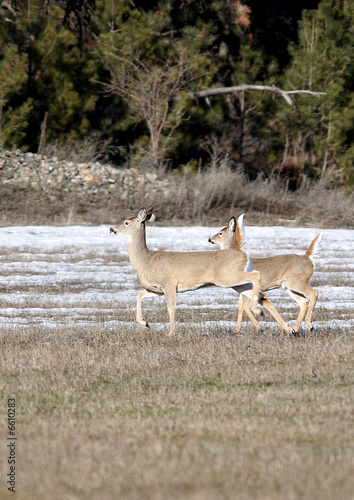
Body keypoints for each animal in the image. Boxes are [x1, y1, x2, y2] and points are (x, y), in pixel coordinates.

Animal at [110, 207, 266, 336]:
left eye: (126, 223)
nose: (111, 228)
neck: (146, 261)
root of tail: (242, 253)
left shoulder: (169, 283)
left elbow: (171, 307)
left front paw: (170, 332)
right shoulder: (157, 289)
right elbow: (139, 295)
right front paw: (145, 322)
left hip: (227, 277)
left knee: (256, 275)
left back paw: (257, 311)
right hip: (232, 280)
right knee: (249, 289)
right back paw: (259, 323)